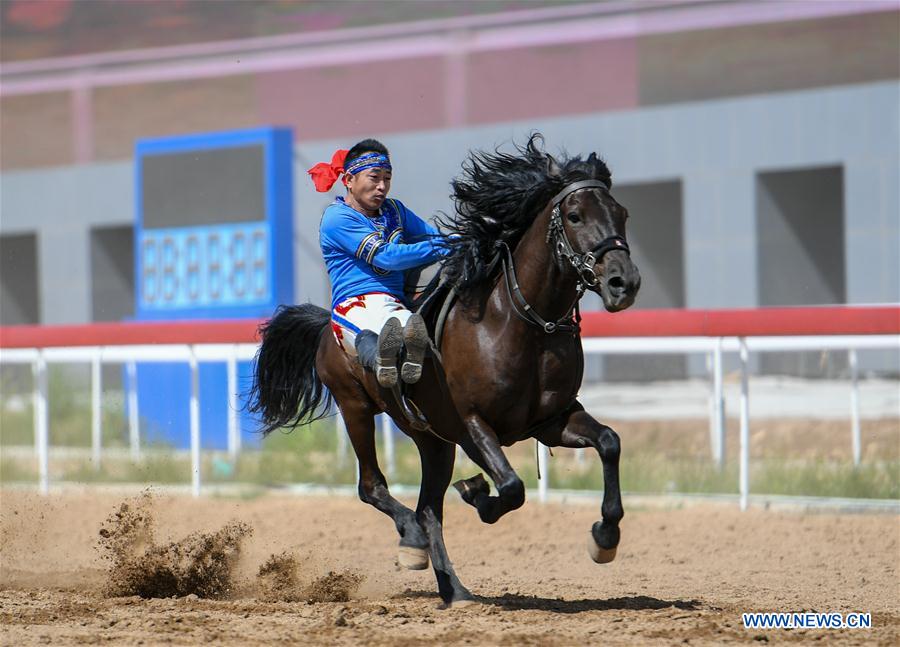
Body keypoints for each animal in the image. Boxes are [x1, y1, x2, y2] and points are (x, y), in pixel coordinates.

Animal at [246, 135, 640, 608]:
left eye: (622, 213)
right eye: (575, 215)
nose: (623, 282)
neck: (522, 323)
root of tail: (328, 324)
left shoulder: (552, 420)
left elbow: (609, 442)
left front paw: (605, 536)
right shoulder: (473, 424)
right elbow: (512, 488)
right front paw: (477, 494)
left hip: (433, 441)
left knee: (428, 509)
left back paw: (455, 589)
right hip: (356, 408)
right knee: (374, 487)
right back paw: (414, 542)